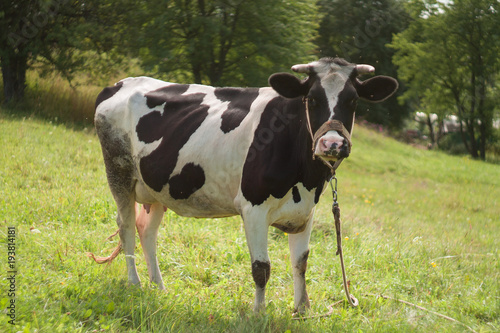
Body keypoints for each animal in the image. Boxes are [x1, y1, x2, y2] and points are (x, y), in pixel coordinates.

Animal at [92, 57, 398, 312]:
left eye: (353, 100)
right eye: (311, 99)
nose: (332, 144)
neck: (305, 177)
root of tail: (120, 83)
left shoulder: (306, 211)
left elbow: (301, 262)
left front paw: (302, 310)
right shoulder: (253, 207)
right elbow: (261, 268)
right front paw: (259, 313)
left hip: (157, 189)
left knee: (147, 231)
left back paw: (159, 287)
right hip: (118, 173)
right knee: (127, 227)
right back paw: (135, 284)